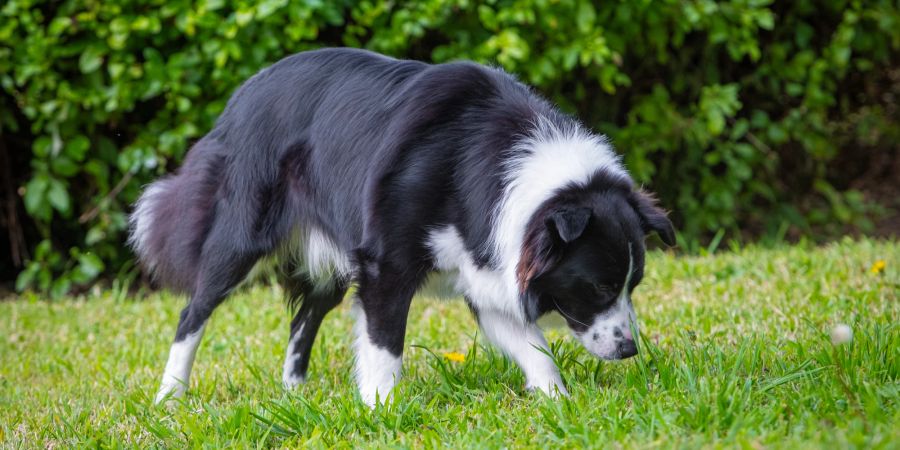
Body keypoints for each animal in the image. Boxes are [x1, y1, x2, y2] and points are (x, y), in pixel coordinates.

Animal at [130, 46, 672, 408]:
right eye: (600, 287)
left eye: (634, 284)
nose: (629, 349)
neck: (488, 166)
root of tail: (238, 99)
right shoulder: (384, 263)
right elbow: (384, 341)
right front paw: (381, 410)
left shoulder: (483, 262)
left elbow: (531, 344)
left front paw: (558, 400)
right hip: (241, 235)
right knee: (194, 311)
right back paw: (169, 396)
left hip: (331, 255)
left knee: (304, 318)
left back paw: (295, 394)